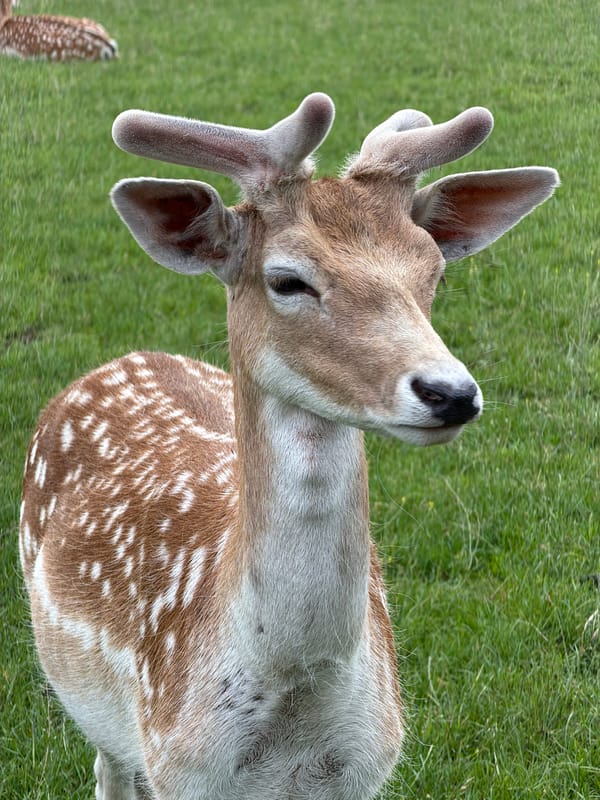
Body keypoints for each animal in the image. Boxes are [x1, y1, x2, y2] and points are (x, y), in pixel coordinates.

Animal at [19, 93, 558, 799]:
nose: (450, 393)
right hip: (94, 707)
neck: (295, 713)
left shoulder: (368, 765)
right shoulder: (178, 766)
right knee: (108, 769)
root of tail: (124, 357)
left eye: (434, 271)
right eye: (288, 280)